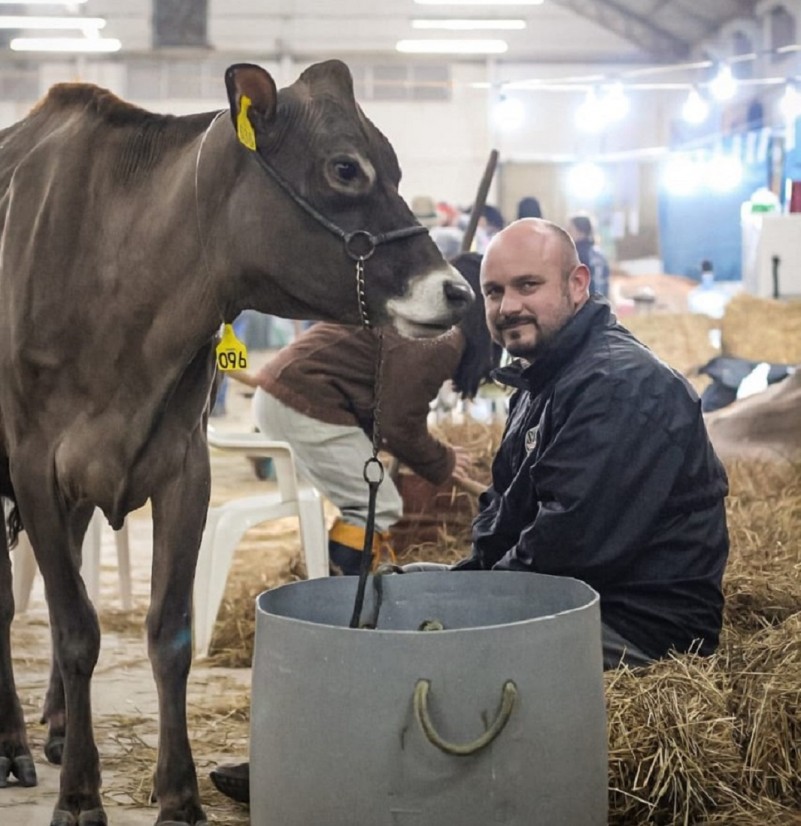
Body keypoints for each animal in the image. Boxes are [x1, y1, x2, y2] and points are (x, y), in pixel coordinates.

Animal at [0, 59, 472, 824]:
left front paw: (179, 796)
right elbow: (74, 630)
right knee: (12, 604)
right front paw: (79, 796)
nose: (458, 291)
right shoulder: (36, 465)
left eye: (398, 166)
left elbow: (170, 633)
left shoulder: (183, 469)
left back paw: (61, 726)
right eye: (345, 168)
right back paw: (15, 743)